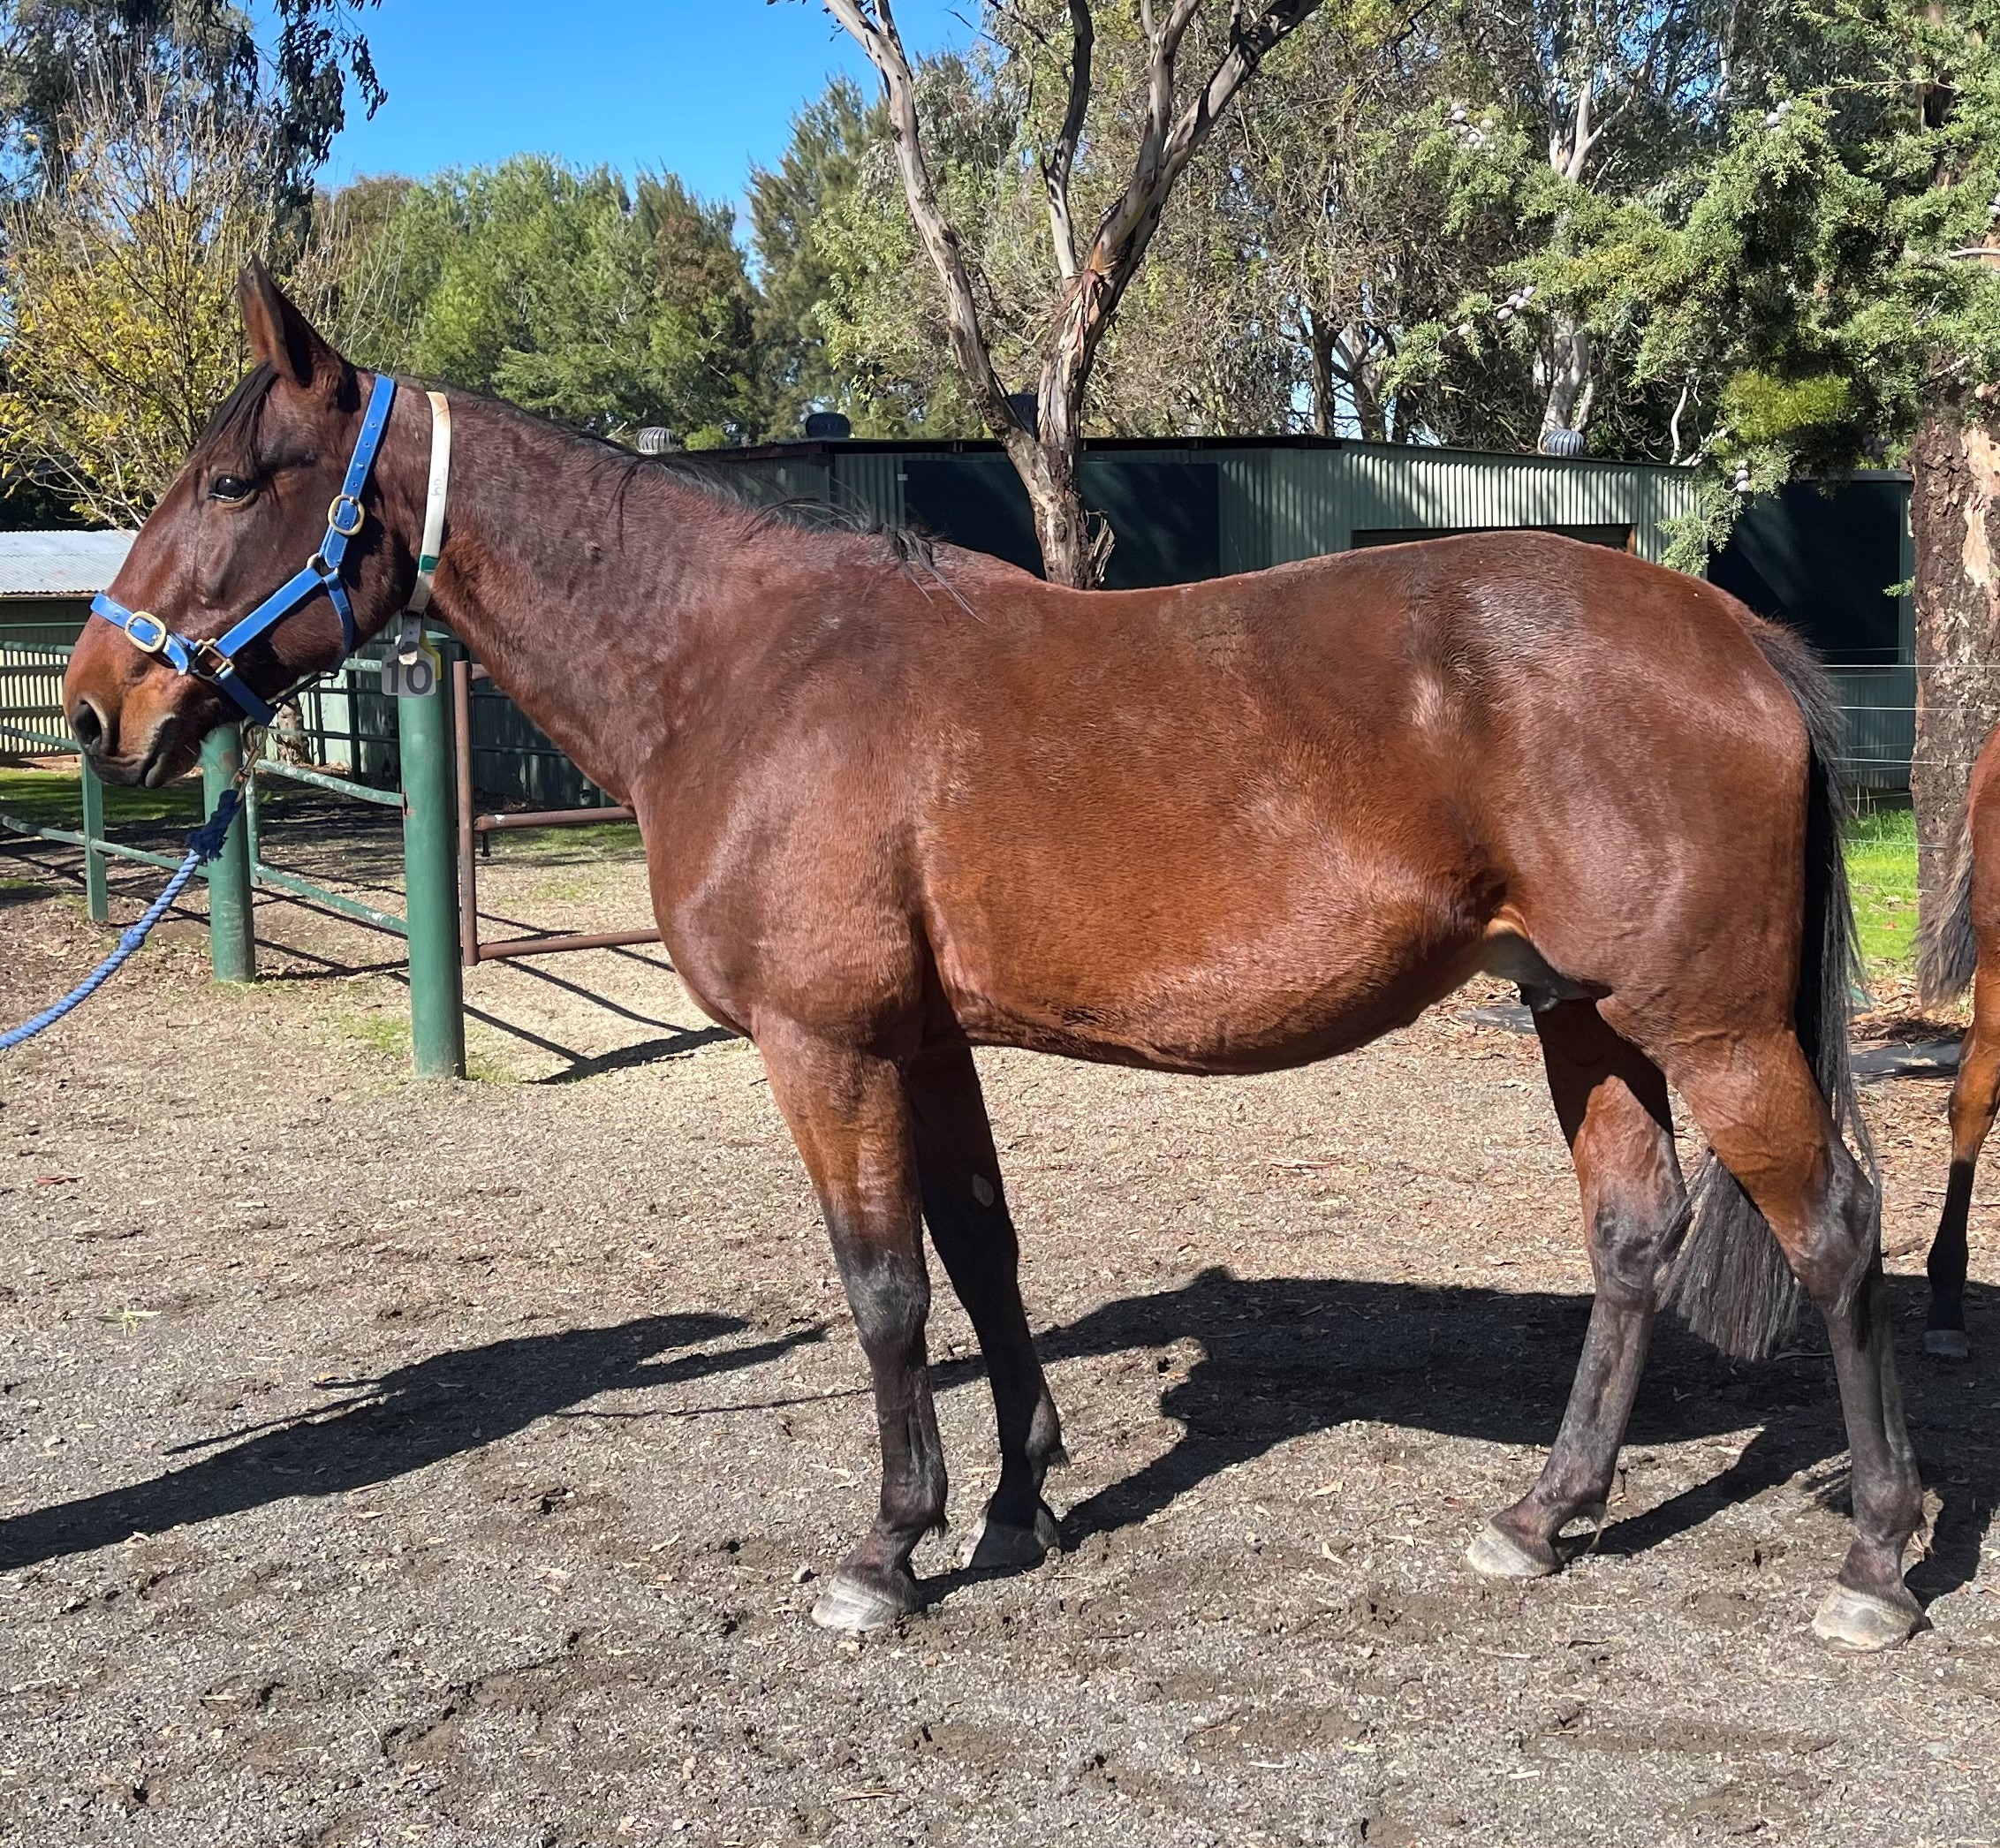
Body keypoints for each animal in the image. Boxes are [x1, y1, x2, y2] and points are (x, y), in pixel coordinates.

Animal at [62, 264, 1925, 1650]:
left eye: (232, 481)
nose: (93, 704)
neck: (742, 662)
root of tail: (1730, 635)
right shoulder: (925, 1038)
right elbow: (980, 1255)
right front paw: (1023, 1503)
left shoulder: (825, 1043)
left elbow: (883, 1286)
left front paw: (889, 1550)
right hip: (1577, 1012)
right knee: (1631, 1237)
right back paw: (1540, 1518)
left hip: (1709, 1023)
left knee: (1832, 1228)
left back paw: (1874, 1562)